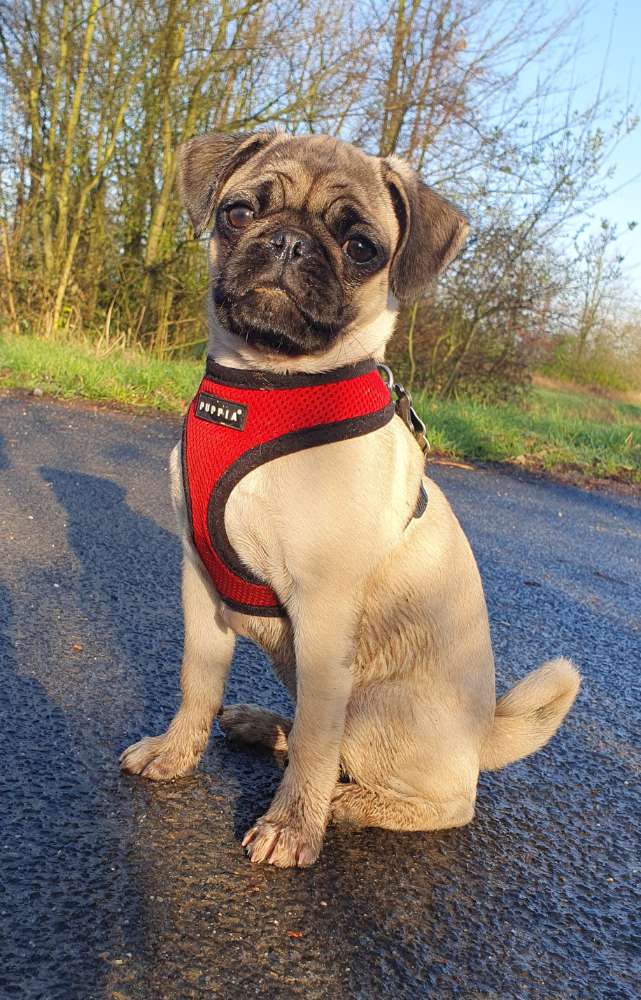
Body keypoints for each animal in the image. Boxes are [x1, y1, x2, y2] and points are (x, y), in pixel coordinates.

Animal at [120, 133, 580, 868]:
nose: (287, 242)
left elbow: (317, 738)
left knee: (434, 797)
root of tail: (482, 736)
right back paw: (264, 727)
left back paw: (343, 804)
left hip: (372, 711)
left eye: (360, 247)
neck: (267, 386)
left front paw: (292, 824)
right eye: (239, 213)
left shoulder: (324, 609)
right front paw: (177, 752)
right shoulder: (199, 585)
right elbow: (197, 681)